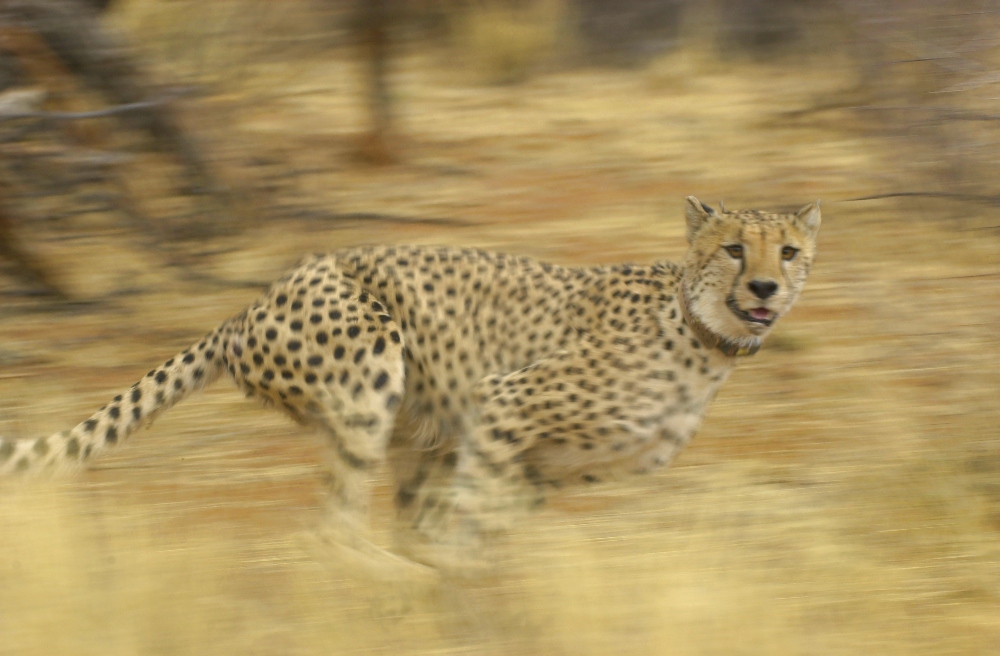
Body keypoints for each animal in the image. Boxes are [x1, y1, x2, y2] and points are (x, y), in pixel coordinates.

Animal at [0, 196, 820, 564]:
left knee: (380, 511)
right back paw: (383, 578)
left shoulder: (541, 468)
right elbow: (471, 517)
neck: (703, 335)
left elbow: (481, 516)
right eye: (732, 249)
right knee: (332, 525)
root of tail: (250, 306)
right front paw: (456, 579)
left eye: (786, 250)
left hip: (417, 426)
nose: (765, 289)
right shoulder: (504, 402)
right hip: (371, 362)